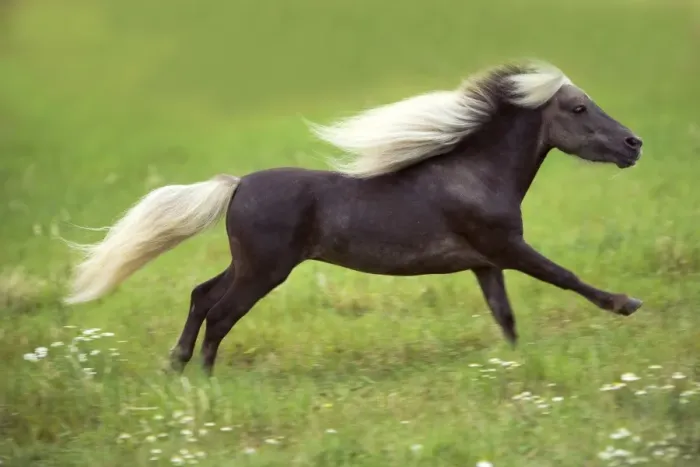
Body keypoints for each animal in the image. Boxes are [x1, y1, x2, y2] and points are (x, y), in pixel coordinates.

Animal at [62, 60, 644, 375]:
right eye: (578, 109)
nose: (634, 144)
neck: (476, 175)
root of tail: (237, 184)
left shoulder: (485, 262)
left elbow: (505, 315)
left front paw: (516, 362)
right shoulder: (505, 246)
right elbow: (563, 275)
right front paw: (627, 303)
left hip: (248, 263)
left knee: (202, 296)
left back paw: (177, 366)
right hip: (265, 269)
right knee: (222, 312)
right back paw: (204, 377)